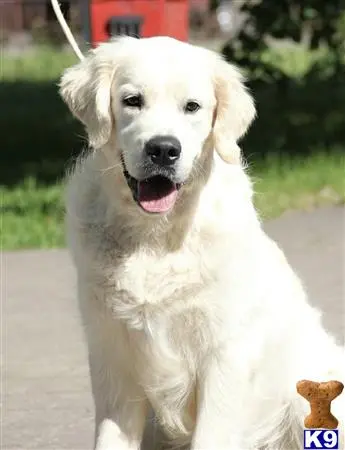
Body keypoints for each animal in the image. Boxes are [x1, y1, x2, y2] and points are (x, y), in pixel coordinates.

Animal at [59, 37, 342, 448]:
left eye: (192, 106)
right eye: (132, 100)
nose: (163, 149)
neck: (155, 238)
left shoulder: (225, 354)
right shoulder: (112, 355)